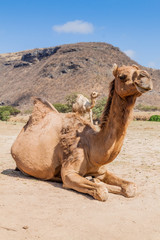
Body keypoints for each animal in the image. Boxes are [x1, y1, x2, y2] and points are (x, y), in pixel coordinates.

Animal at [10, 63, 152, 201]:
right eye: (122, 76)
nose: (146, 77)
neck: (91, 144)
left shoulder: (101, 171)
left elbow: (131, 187)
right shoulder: (69, 173)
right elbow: (102, 191)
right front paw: (96, 183)